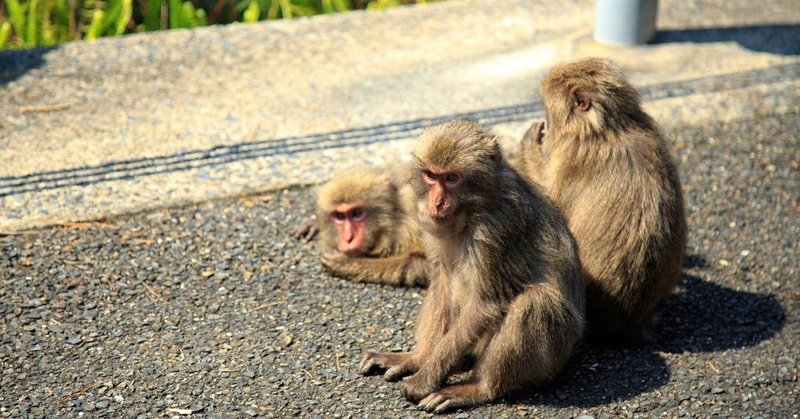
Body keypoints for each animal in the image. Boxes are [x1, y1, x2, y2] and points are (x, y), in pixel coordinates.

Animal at [296, 166, 432, 288]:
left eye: (357, 213)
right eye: (339, 216)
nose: (348, 238)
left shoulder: (413, 225)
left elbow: (424, 264)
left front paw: (347, 264)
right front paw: (314, 225)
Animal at [360, 120, 584, 412]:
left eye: (452, 178)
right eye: (431, 176)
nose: (436, 202)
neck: (475, 207)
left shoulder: (498, 227)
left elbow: (487, 303)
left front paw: (424, 380)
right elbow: (443, 281)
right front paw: (421, 362)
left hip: (553, 358)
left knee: (536, 301)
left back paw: (479, 388)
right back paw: (419, 357)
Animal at [520, 57, 688, 342]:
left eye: (549, 112)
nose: (547, 128)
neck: (608, 128)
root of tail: (631, 325)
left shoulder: (571, 158)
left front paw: (530, 143)